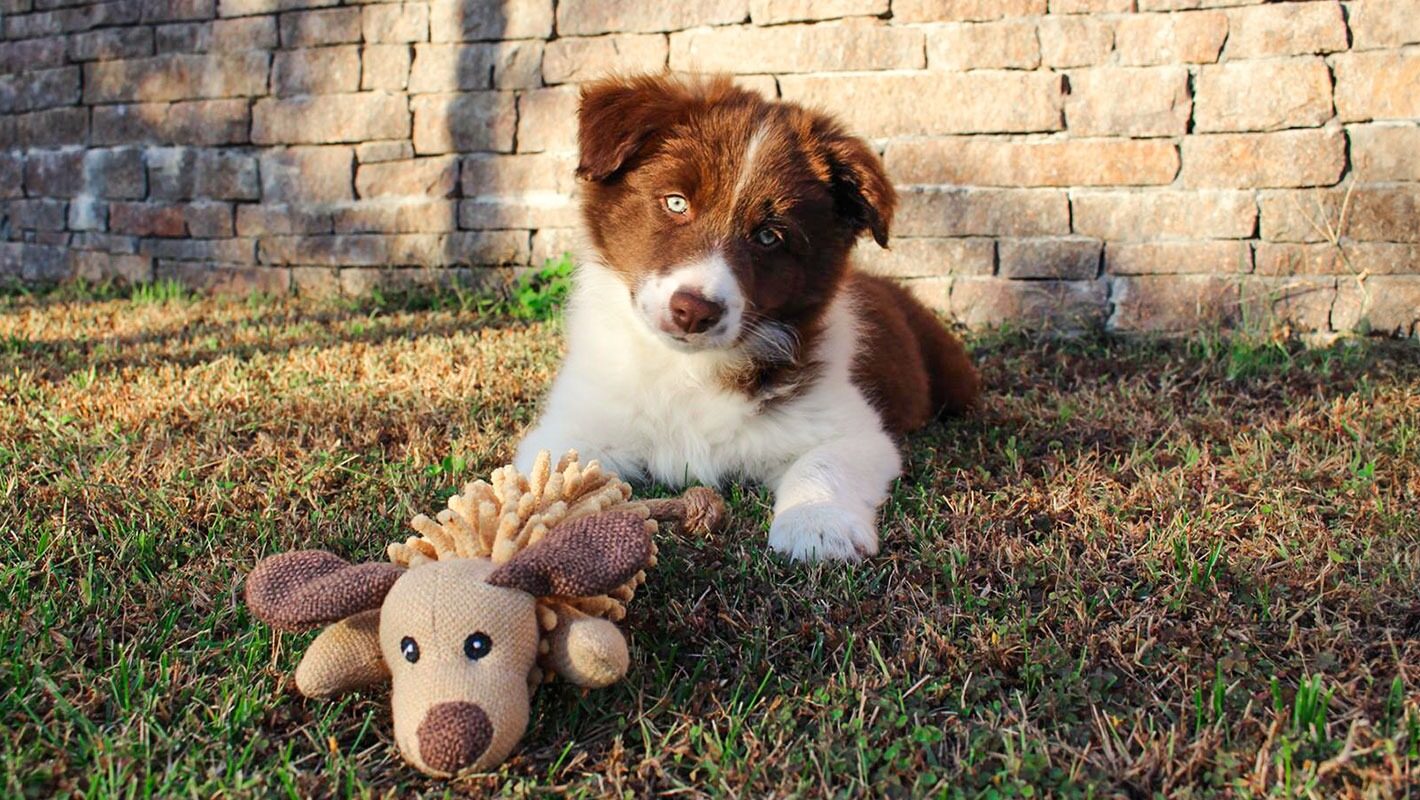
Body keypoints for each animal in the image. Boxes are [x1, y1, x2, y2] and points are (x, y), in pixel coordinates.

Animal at [516, 75, 982, 562]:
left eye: (769, 236)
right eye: (676, 203)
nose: (693, 311)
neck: (687, 367)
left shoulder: (852, 428)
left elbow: (824, 461)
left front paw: (817, 526)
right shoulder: (576, 422)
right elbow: (554, 474)